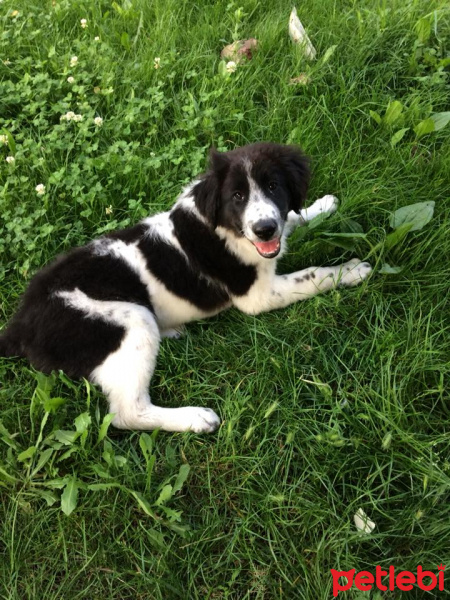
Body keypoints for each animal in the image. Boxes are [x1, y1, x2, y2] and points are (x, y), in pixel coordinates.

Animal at [0, 143, 370, 434]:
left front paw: (322, 205)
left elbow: (292, 218)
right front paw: (351, 270)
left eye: (274, 186)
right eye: (237, 196)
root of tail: (20, 324)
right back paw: (195, 418)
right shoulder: (257, 296)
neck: (224, 227)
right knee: (127, 413)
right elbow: (311, 275)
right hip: (131, 319)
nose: (264, 229)